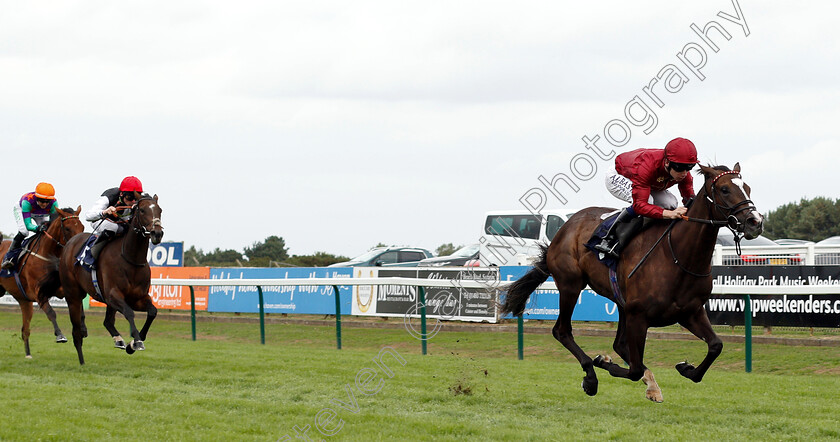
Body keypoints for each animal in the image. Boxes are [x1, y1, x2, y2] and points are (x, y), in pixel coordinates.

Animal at [0, 208, 83, 360]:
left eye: (82, 227)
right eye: (67, 228)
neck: (48, 255)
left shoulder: (60, 290)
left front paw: (83, 329)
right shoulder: (38, 293)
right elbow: (51, 313)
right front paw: (60, 335)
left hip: (24, 301)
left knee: (25, 329)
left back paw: (28, 354)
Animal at [39, 195, 164, 364]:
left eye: (160, 210)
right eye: (143, 210)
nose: (157, 233)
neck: (130, 259)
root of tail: (68, 245)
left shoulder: (137, 298)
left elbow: (152, 312)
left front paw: (133, 344)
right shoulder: (113, 295)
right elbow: (129, 313)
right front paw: (136, 341)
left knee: (107, 322)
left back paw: (118, 340)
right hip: (73, 295)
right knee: (76, 331)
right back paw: (82, 361)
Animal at [502, 164, 764, 402]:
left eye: (748, 188)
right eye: (724, 189)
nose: (755, 221)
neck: (678, 255)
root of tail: (565, 228)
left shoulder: (690, 312)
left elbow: (715, 346)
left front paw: (685, 368)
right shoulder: (639, 315)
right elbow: (635, 369)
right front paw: (602, 363)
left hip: (620, 303)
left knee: (619, 345)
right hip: (571, 285)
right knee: (562, 331)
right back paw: (592, 377)